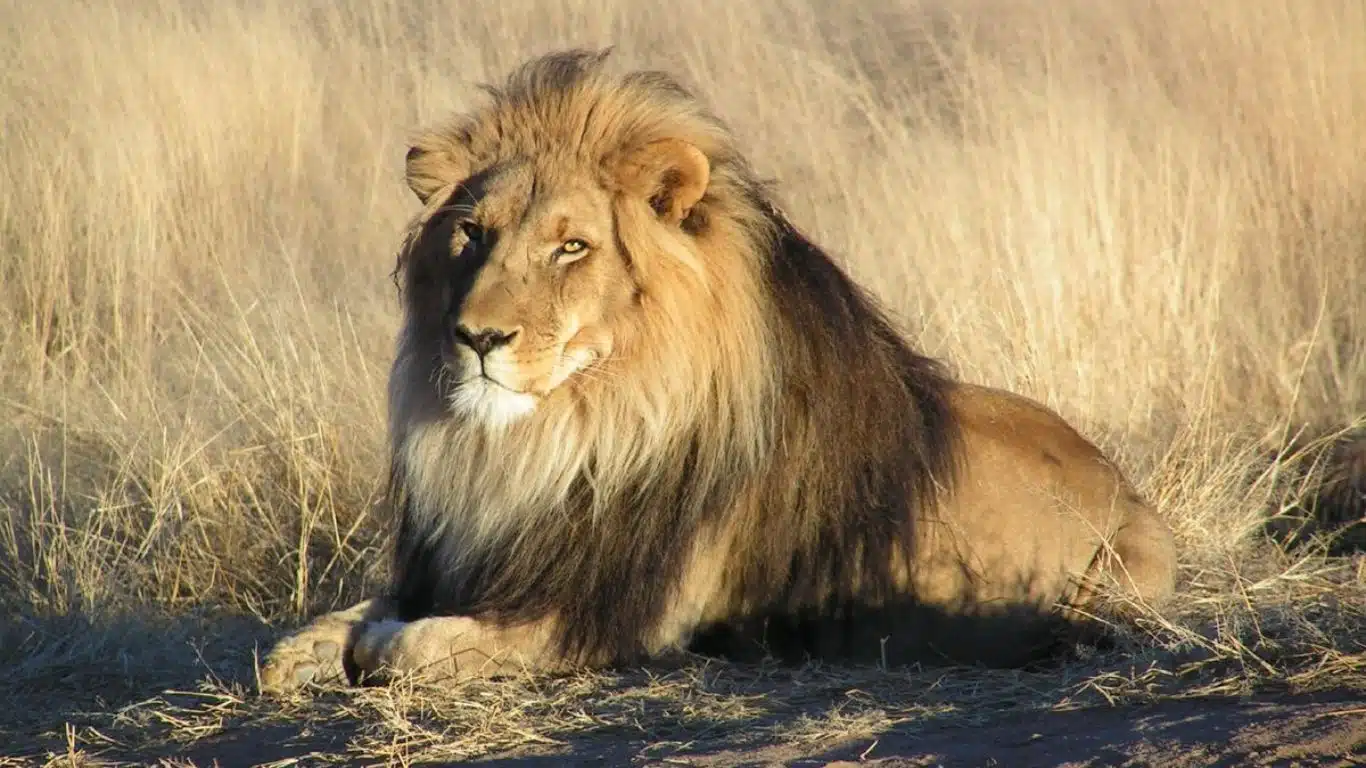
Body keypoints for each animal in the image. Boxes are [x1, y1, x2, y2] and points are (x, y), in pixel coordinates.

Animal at [259, 49, 1178, 693]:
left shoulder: (613, 616)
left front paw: (376, 646)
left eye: (572, 246)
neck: (559, 438)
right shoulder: (473, 562)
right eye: (472, 234)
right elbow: (328, 627)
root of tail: (1125, 484)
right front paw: (308, 651)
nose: (476, 337)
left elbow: (411, 646)